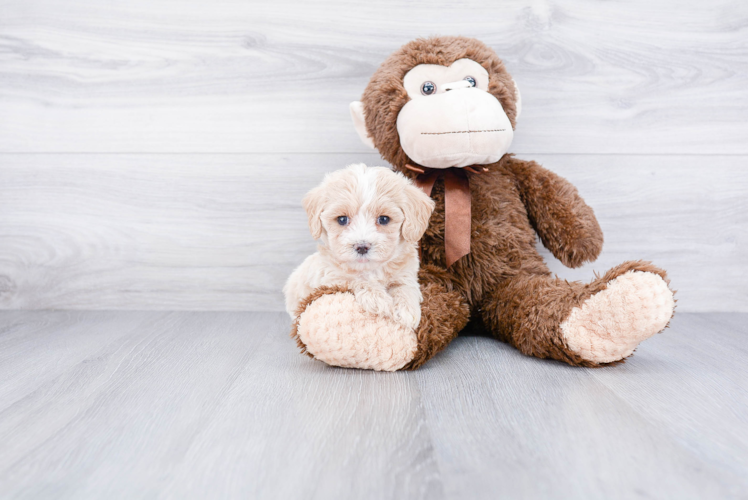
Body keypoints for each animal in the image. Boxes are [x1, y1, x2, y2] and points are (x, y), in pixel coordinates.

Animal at [286, 162, 438, 330]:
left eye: (384, 219)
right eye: (342, 219)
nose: (362, 247)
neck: (371, 269)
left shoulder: (406, 272)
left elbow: (405, 286)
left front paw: (406, 310)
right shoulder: (330, 276)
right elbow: (355, 279)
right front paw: (378, 299)